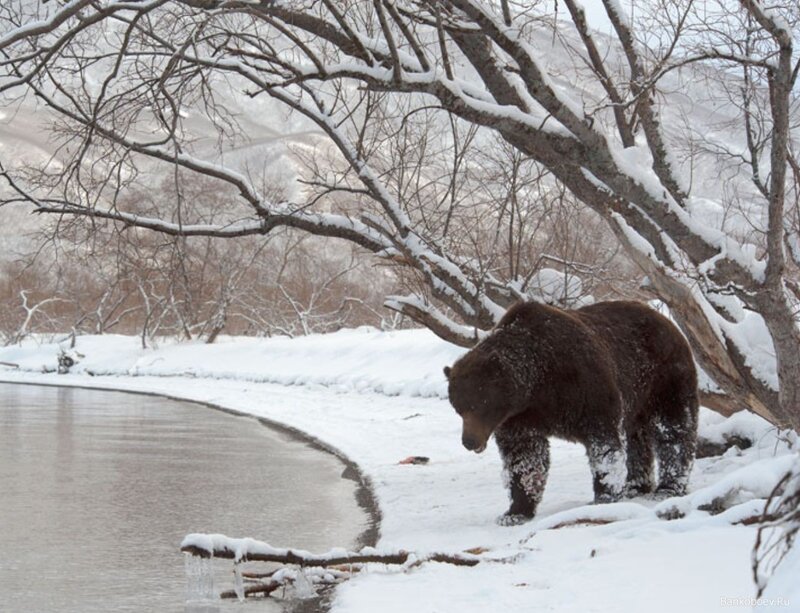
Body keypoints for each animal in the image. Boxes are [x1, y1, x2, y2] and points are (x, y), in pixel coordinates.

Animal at [444, 300, 698, 525]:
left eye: (481, 406)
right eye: (458, 408)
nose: (469, 441)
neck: (538, 381)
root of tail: (666, 320)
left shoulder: (583, 385)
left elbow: (604, 445)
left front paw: (604, 495)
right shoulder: (521, 417)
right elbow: (524, 458)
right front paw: (514, 512)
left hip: (664, 378)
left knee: (673, 430)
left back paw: (667, 487)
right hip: (637, 399)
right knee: (637, 438)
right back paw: (635, 485)